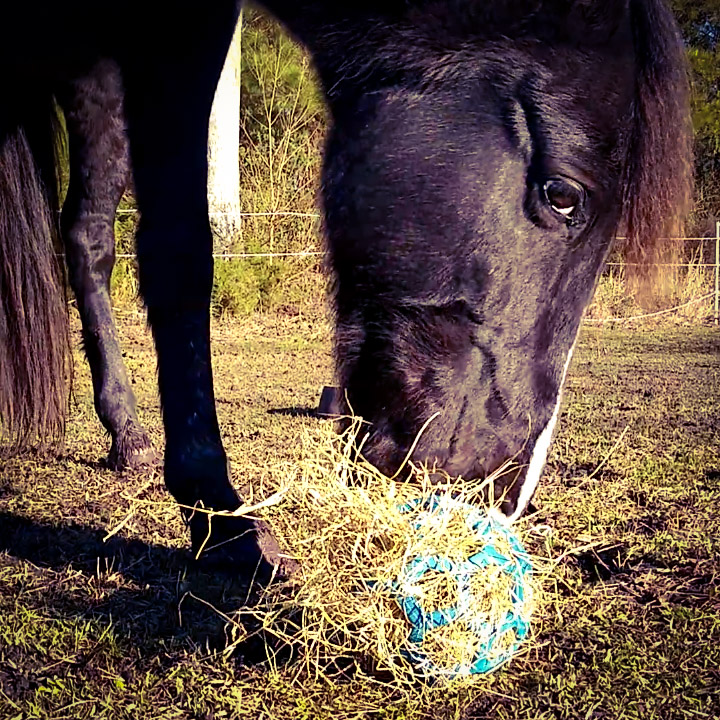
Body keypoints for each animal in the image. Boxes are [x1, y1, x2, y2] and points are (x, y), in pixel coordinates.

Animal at [2, 2, 696, 572]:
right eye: (563, 194)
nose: (501, 492)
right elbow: (180, 248)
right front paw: (223, 526)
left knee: (88, 234)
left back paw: (128, 435)